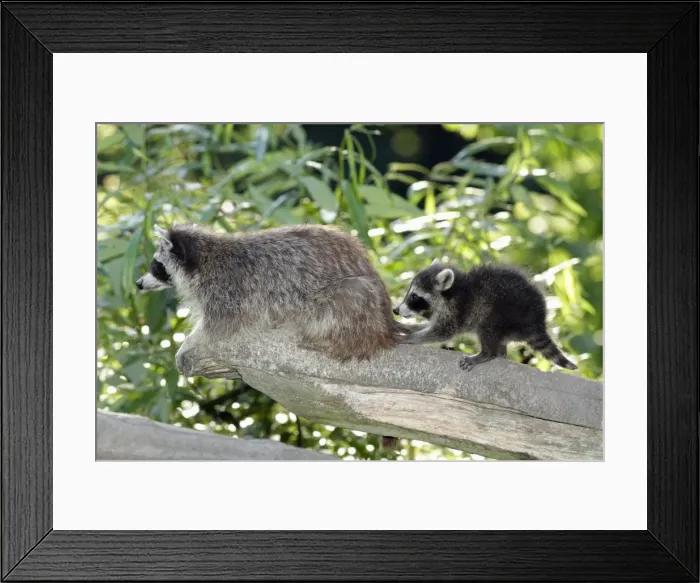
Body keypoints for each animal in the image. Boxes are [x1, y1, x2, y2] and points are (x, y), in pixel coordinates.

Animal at [136, 222, 412, 361]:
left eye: (156, 266)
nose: (138, 283)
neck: (206, 257)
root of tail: (385, 321)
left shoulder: (227, 291)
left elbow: (217, 326)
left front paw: (189, 342)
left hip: (353, 301)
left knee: (346, 299)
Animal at [393, 261, 577, 372]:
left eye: (415, 297)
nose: (396, 310)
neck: (452, 292)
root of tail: (538, 323)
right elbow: (431, 326)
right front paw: (408, 328)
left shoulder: (457, 311)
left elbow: (440, 332)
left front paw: (411, 337)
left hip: (503, 314)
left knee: (487, 328)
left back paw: (487, 354)